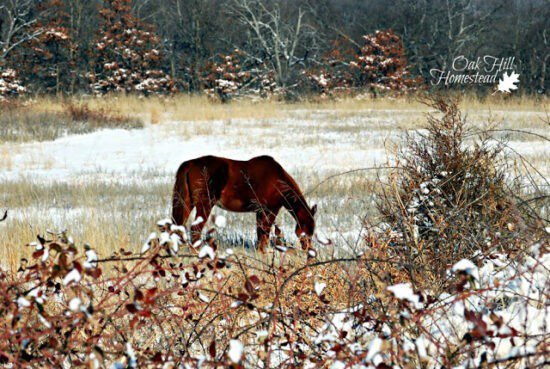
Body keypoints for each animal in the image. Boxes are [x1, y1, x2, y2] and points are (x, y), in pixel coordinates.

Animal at [172, 154, 320, 252]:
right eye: (306, 230)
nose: (309, 250)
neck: (278, 182)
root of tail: (190, 164)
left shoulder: (260, 211)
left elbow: (261, 234)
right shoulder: (270, 210)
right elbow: (264, 233)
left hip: (187, 203)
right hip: (204, 205)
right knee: (195, 230)